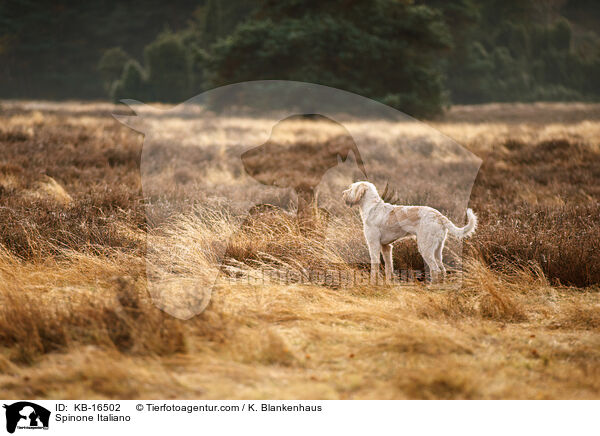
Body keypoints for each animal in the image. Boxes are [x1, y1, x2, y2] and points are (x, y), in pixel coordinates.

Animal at [342, 181, 478, 282]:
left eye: (351, 188)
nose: (343, 193)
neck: (372, 207)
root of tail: (439, 216)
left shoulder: (373, 244)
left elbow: (374, 265)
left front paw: (372, 282)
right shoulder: (386, 247)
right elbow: (389, 267)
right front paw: (389, 282)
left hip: (425, 248)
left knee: (435, 270)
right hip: (438, 250)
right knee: (442, 269)